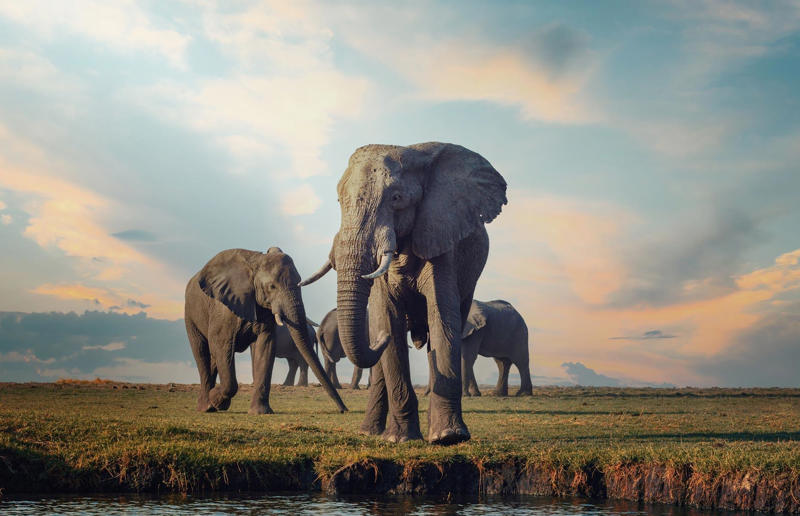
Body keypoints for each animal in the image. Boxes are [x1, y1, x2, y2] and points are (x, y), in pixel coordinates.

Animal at [184, 247, 347, 414]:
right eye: (272, 287)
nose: (343, 410)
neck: (256, 262)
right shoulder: (223, 308)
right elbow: (222, 343)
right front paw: (216, 399)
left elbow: (265, 346)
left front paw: (260, 412)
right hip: (190, 314)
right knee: (202, 353)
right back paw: (206, 407)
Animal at [301, 142, 507, 444]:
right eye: (339, 201)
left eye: (397, 198)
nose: (379, 338)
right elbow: (389, 321)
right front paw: (399, 439)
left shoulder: (440, 237)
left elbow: (443, 320)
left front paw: (448, 437)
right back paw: (370, 431)